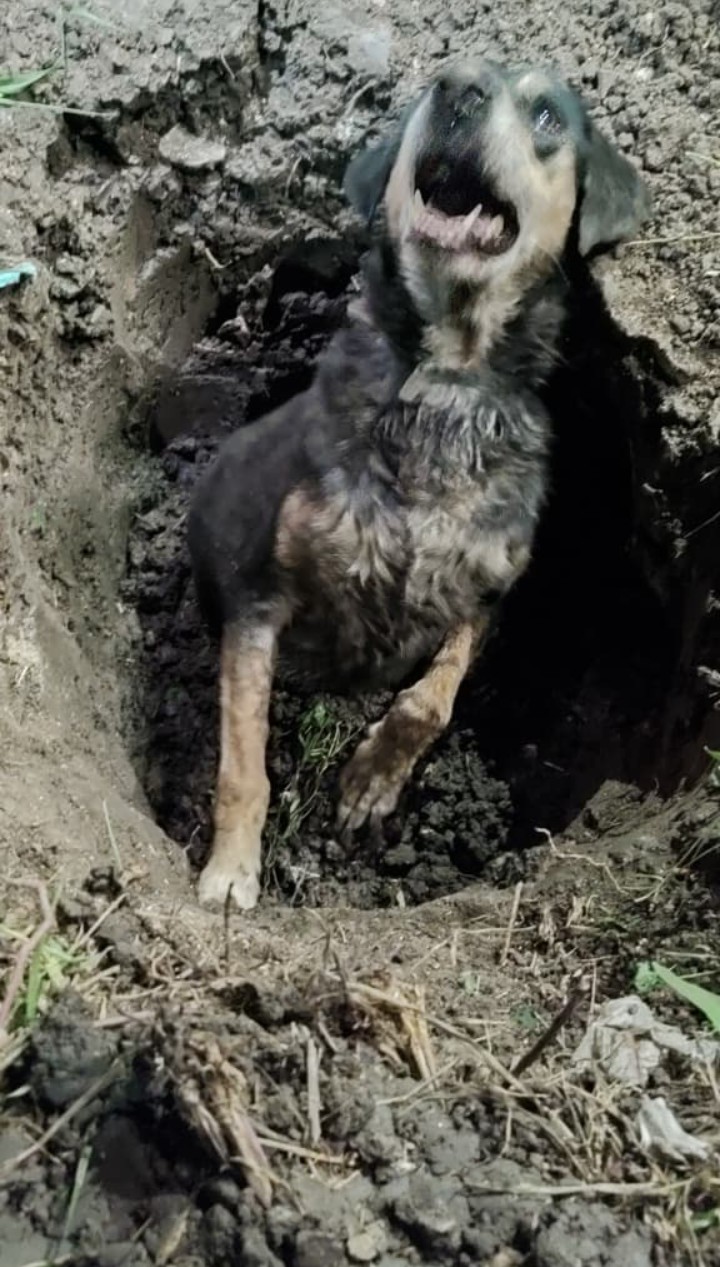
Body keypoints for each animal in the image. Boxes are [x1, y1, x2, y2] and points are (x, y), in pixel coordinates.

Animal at [188, 57, 648, 910]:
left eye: (546, 114)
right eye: (438, 82)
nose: (457, 87)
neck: (445, 385)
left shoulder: (489, 591)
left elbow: (431, 699)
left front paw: (372, 780)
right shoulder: (260, 597)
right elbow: (244, 764)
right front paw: (230, 871)